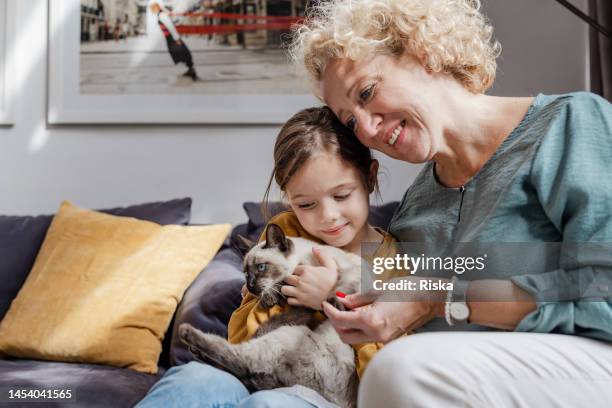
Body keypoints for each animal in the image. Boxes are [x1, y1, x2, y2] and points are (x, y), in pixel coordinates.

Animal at [179, 223, 366, 408]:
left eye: (261, 267)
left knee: (241, 362)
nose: (250, 286)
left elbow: (344, 288)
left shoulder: (350, 273)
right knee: (241, 364)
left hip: (287, 336)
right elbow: (280, 286)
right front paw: (269, 297)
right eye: (245, 273)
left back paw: (188, 334)